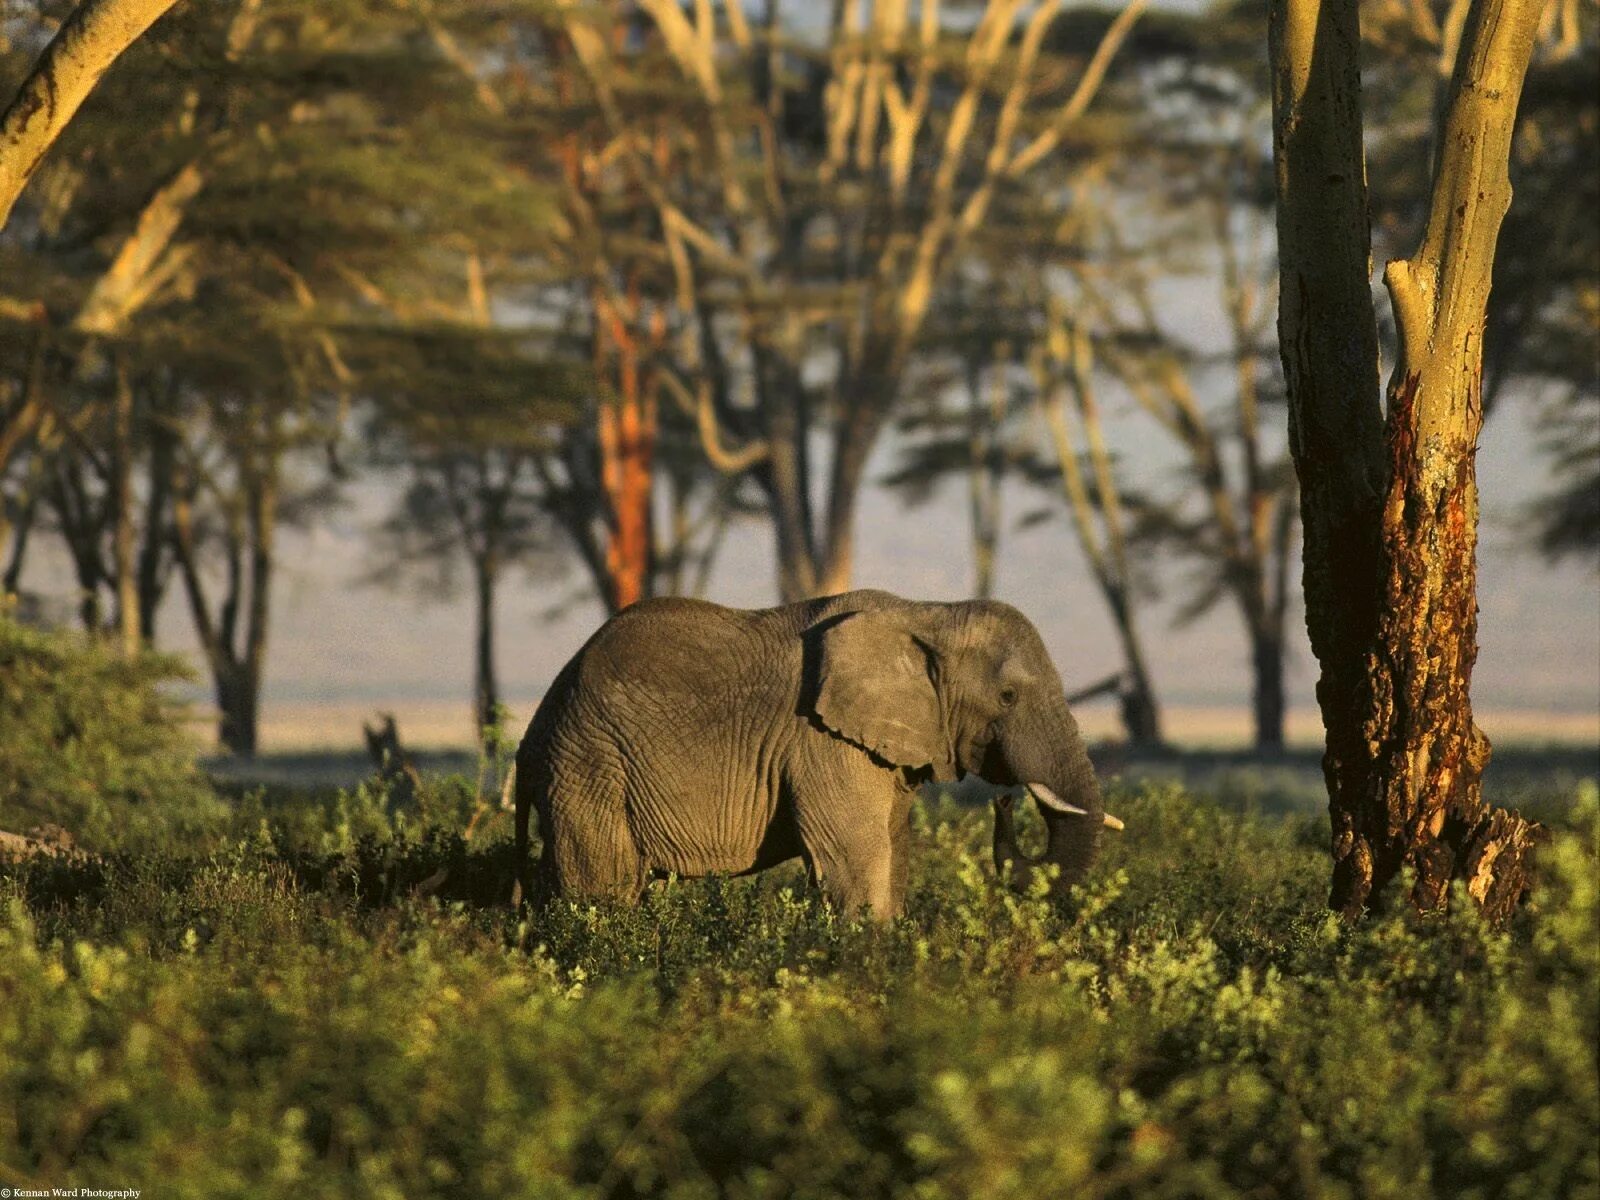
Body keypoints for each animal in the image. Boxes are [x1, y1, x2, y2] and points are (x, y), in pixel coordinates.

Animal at [515, 592, 1126, 921]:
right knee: (603, 887)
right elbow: (859, 862)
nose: (1003, 802)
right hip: (590, 761)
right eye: (1008, 696)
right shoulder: (823, 742)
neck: (928, 615)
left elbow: (893, 855)